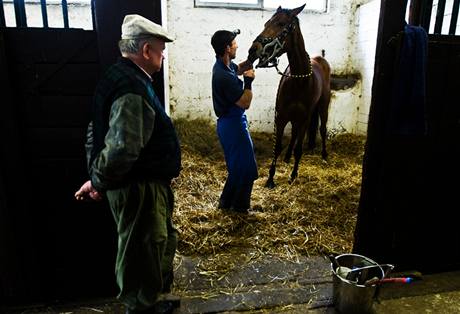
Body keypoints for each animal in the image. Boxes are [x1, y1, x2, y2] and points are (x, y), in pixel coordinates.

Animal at [248, 4, 330, 188]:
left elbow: (299, 148)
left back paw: (324, 156)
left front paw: (293, 175)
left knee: (322, 129)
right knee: (293, 134)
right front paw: (270, 178)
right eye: (266, 23)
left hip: (323, 107)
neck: (300, 80)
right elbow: (277, 146)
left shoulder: (305, 118)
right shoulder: (282, 116)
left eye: (281, 24)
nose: (253, 50)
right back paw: (286, 157)